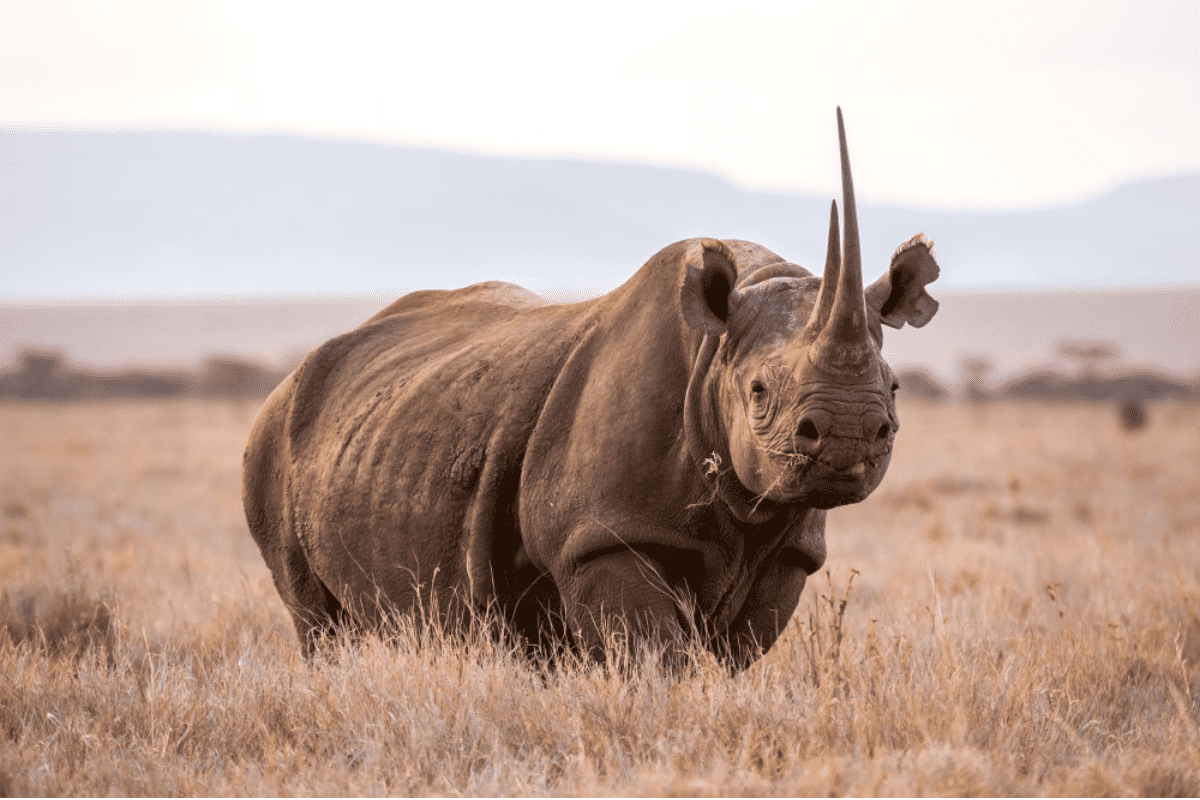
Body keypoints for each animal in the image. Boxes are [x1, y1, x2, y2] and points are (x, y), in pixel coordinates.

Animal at [242, 109, 940, 670]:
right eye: (760, 391)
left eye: (895, 389)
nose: (848, 437)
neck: (715, 351)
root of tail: (293, 378)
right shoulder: (602, 535)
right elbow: (660, 657)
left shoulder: (789, 549)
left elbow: (732, 653)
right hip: (272, 439)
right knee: (316, 620)